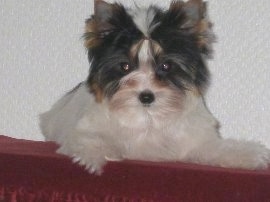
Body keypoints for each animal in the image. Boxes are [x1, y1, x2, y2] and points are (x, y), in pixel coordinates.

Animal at [40, 0, 270, 174]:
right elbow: (87, 139)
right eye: (125, 66)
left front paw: (250, 154)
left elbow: (214, 147)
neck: (149, 115)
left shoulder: (193, 141)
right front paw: (92, 157)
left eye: (166, 66)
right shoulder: (84, 129)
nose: (146, 96)